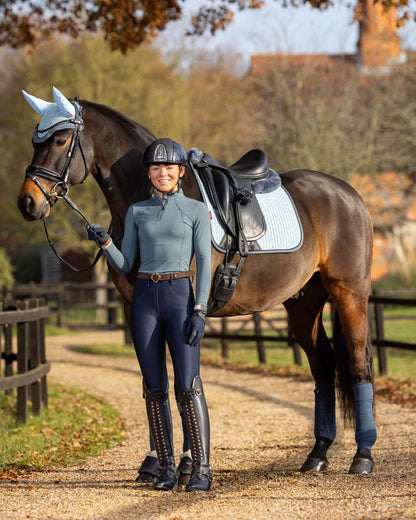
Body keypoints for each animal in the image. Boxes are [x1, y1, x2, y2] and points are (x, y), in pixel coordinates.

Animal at [17, 92, 376, 476]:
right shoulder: (136, 307)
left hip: (349, 294)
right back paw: (318, 453)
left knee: (358, 362)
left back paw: (362, 456)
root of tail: (349, 194)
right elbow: (153, 380)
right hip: (303, 302)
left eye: (60, 140)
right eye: (34, 141)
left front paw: (189, 462)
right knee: (322, 364)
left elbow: (183, 380)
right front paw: (155, 461)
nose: (27, 202)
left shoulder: (186, 311)